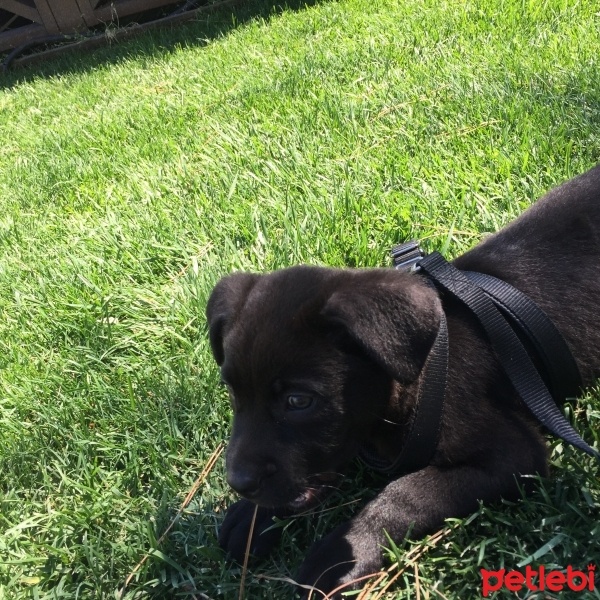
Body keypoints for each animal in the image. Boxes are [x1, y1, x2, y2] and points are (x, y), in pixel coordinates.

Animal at [207, 163, 600, 596]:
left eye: (298, 401)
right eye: (233, 392)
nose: (239, 483)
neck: (420, 377)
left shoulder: (516, 453)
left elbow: (408, 492)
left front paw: (345, 551)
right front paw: (253, 516)